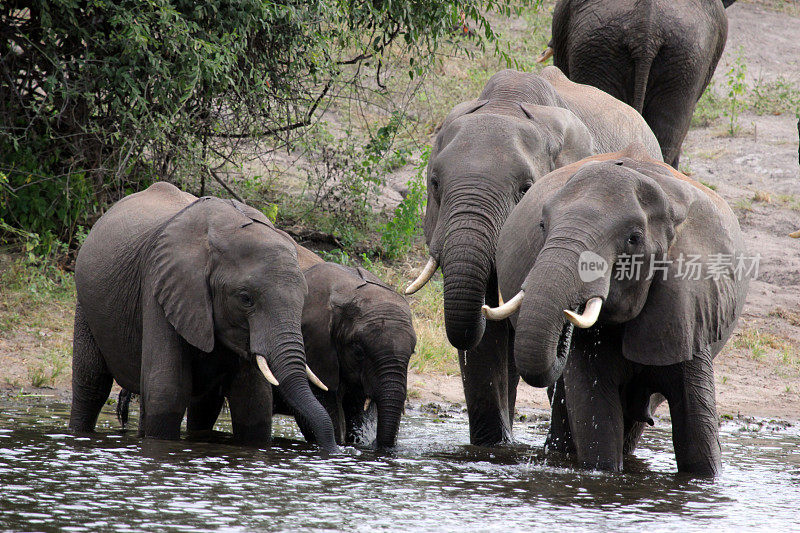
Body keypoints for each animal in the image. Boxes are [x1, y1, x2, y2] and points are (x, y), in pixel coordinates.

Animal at [69, 181, 340, 450]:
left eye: (303, 298)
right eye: (246, 299)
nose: (333, 450)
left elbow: (253, 404)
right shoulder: (160, 286)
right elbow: (166, 391)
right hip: (85, 304)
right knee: (91, 385)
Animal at [484, 142, 752, 474]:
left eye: (633, 239)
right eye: (542, 226)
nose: (568, 316)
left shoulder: (690, 308)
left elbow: (697, 435)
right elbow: (597, 418)